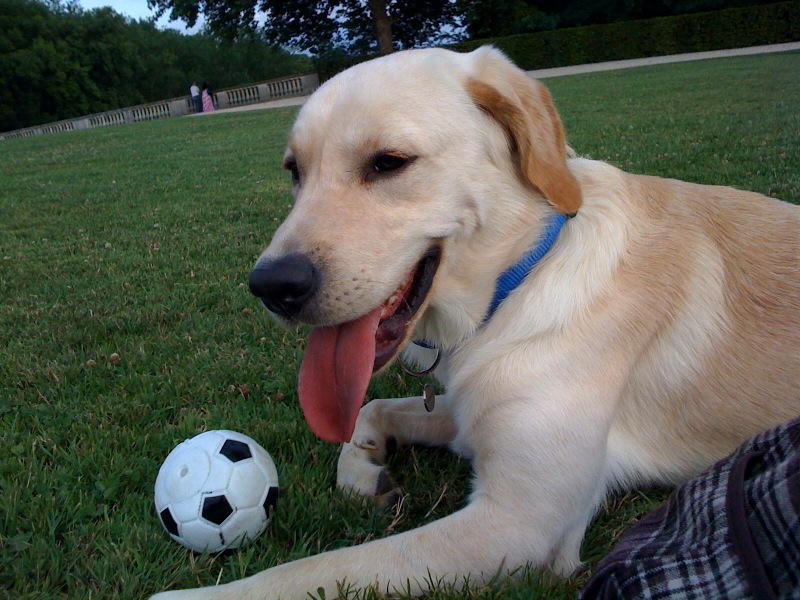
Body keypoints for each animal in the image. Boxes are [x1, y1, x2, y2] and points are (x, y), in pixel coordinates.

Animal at [153, 48, 796, 600]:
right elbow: (371, 408)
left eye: (388, 163)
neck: (515, 285)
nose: (271, 286)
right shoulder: (466, 416)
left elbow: (313, 571)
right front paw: (364, 472)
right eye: (294, 171)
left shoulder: (518, 523)